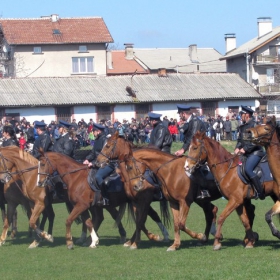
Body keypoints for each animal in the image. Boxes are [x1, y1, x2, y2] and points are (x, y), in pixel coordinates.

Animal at [38, 151, 171, 249]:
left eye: (43, 164)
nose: (39, 183)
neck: (76, 177)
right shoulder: (83, 206)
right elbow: (88, 222)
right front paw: (93, 241)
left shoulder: (81, 205)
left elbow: (69, 220)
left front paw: (70, 243)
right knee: (143, 218)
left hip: (142, 201)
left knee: (144, 218)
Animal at [95, 131, 241, 252]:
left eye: (108, 146)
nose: (97, 162)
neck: (170, 171)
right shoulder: (140, 202)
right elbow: (145, 221)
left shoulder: (170, 201)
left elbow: (149, 220)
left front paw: (142, 241)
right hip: (202, 200)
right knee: (211, 211)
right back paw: (210, 235)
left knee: (210, 212)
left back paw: (206, 236)